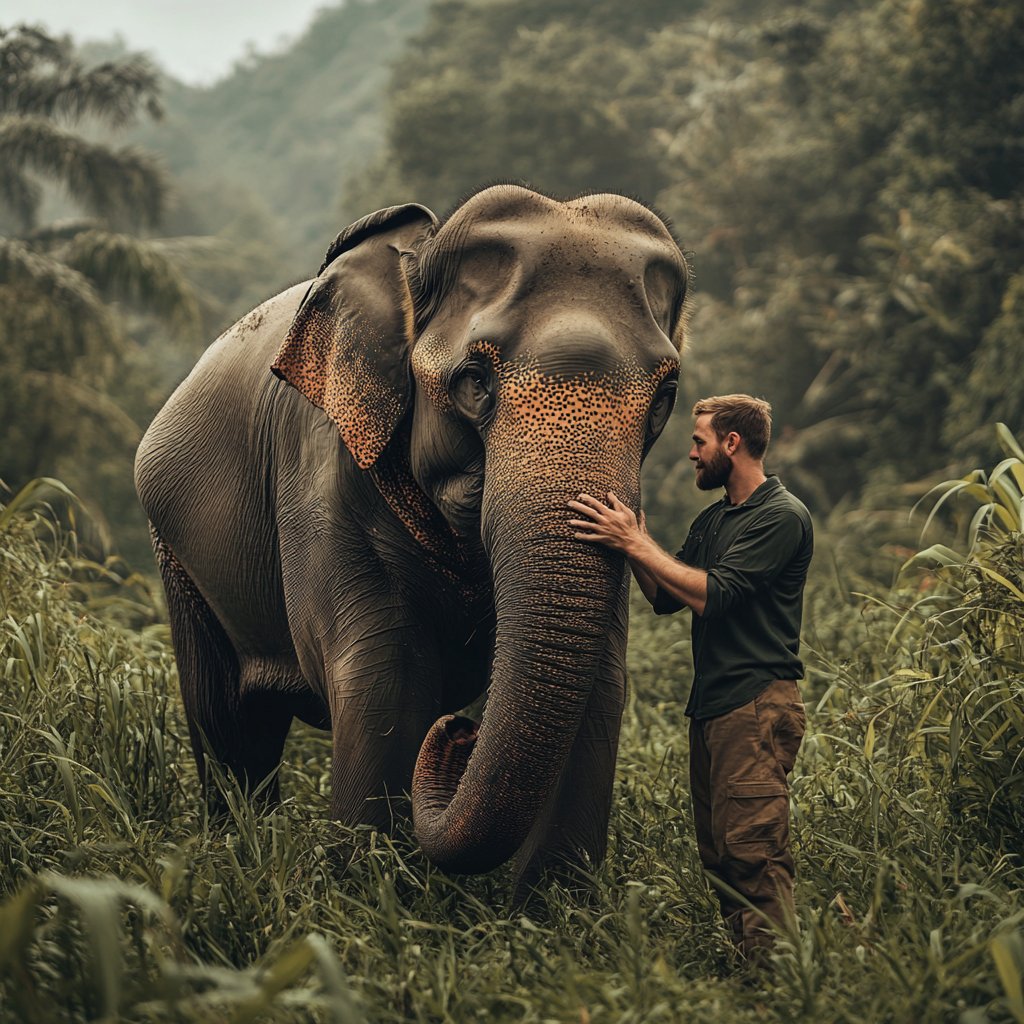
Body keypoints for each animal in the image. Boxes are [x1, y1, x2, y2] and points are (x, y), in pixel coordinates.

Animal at [134, 184, 688, 888]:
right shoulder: (327, 477)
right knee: (231, 722)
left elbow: (598, 687)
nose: (460, 733)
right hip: (177, 552)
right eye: (473, 382)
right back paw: (236, 853)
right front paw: (366, 892)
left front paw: (551, 905)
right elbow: (388, 673)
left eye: (665, 395)